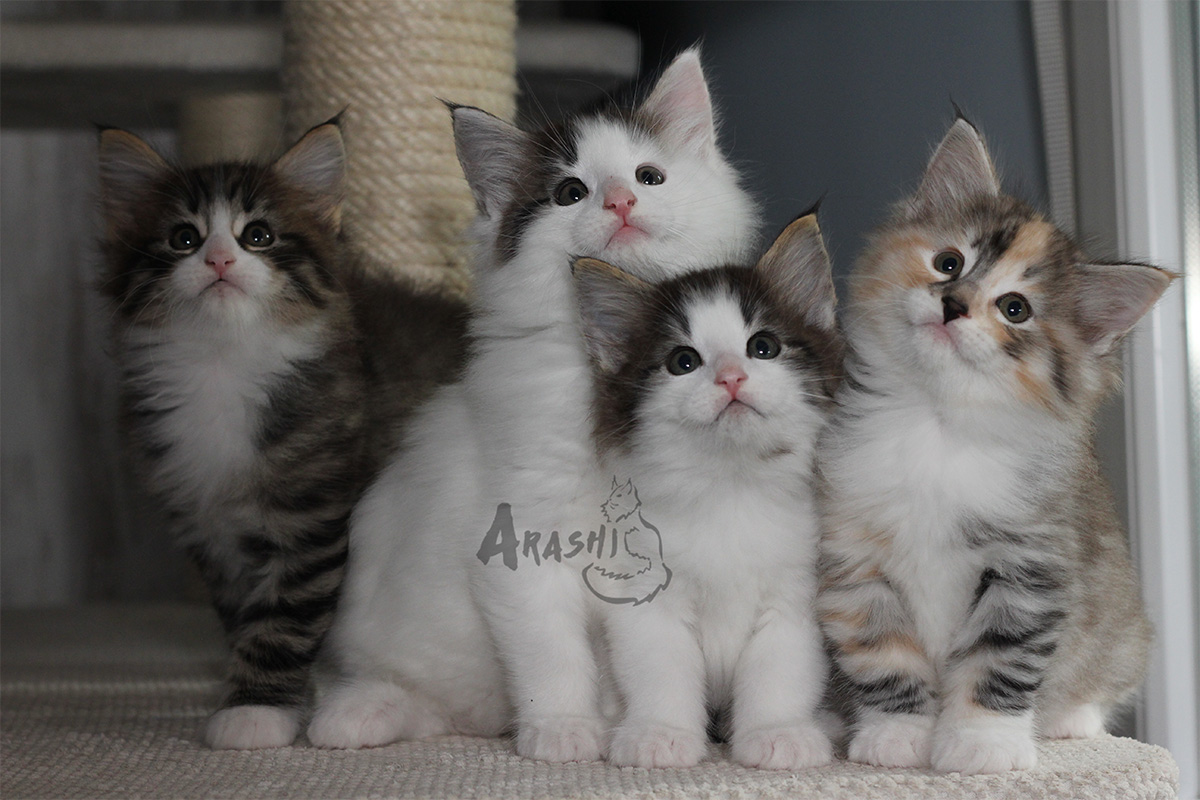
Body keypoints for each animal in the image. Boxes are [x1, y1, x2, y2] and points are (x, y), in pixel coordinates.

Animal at [97, 120, 468, 753]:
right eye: (184, 238)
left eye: (259, 235)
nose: (221, 259)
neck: (221, 367)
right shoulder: (211, 530)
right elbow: (244, 617)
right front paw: (271, 692)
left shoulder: (312, 518)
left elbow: (285, 617)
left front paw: (257, 711)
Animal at [309, 47, 758, 762]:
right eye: (570, 193)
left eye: (649, 176)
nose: (622, 200)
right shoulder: (522, 539)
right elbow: (554, 652)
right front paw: (565, 731)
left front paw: (621, 726)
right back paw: (358, 715)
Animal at [571, 212, 844, 767]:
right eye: (683, 361)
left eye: (763, 347)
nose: (731, 377)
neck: (729, 487)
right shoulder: (645, 599)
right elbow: (660, 670)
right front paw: (659, 733)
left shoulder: (795, 595)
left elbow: (779, 671)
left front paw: (778, 732)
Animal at [816, 118, 1171, 777]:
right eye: (948, 262)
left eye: (1015, 309)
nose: (954, 304)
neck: (936, 424)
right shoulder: (852, 554)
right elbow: (881, 652)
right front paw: (897, 734)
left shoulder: (1031, 563)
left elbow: (998, 659)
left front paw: (981, 744)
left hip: (1125, 633)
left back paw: (1069, 719)